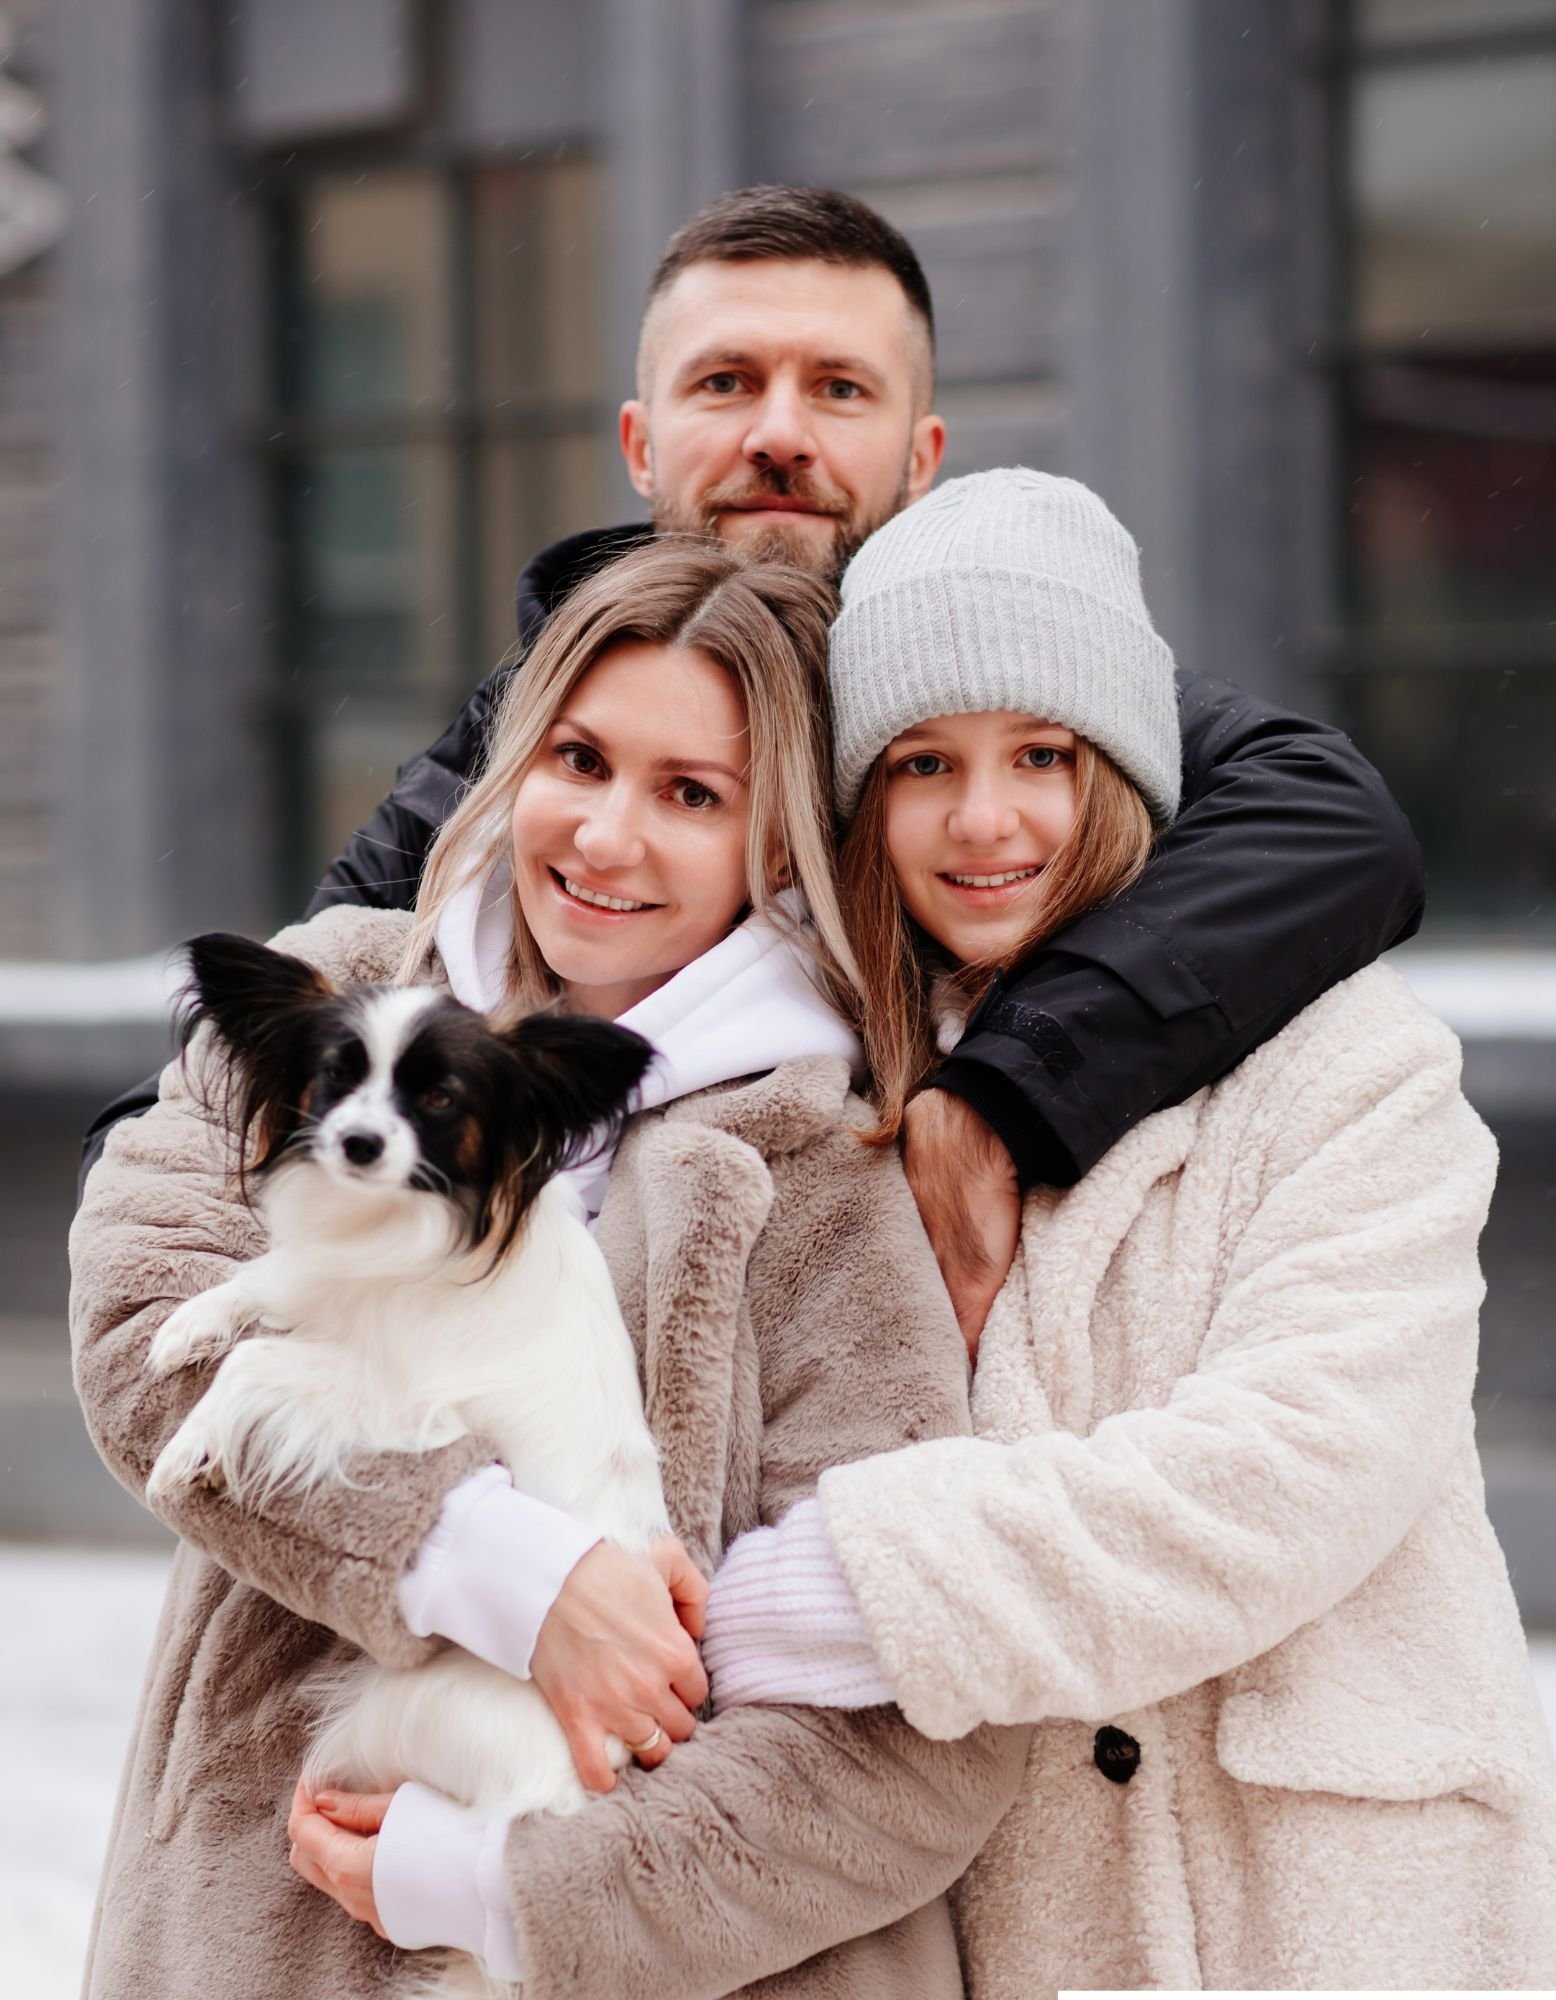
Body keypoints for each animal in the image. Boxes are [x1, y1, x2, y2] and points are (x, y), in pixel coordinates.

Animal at [147, 936, 672, 2000]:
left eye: (437, 1099)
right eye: (336, 1078)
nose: (356, 1143)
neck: (398, 1222)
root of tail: (554, 1798)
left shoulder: (397, 1395)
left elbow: (257, 1366)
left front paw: (190, 1447)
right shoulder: (324, 1285)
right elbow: (268, 1282)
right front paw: (189, 1323)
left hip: (387, 1723)